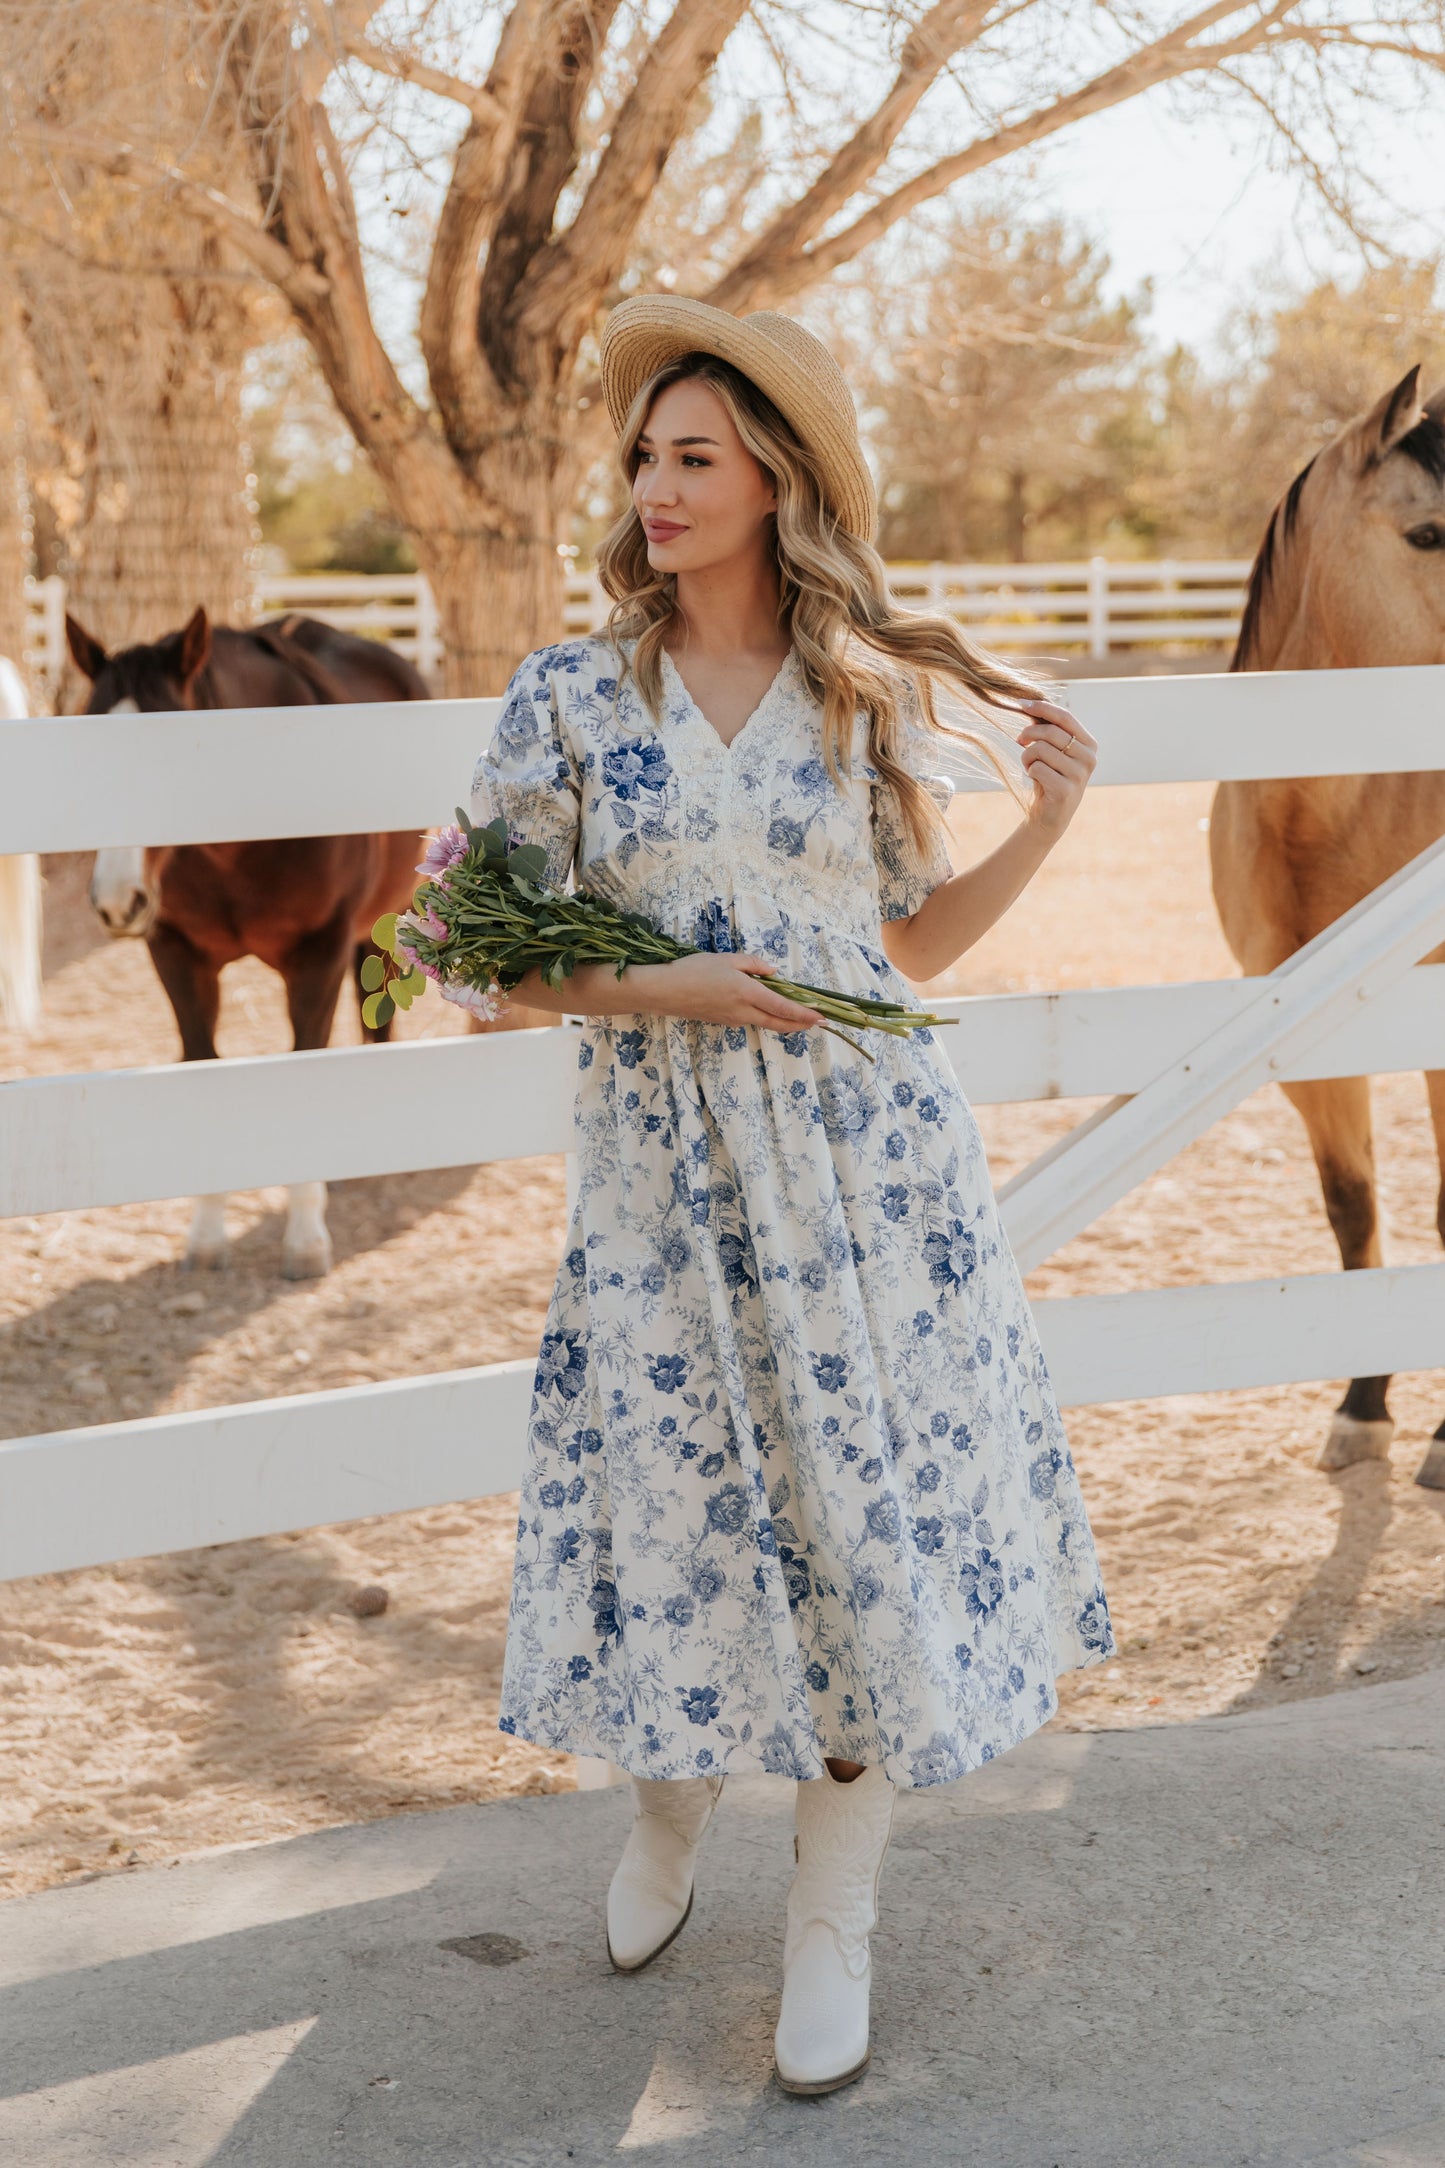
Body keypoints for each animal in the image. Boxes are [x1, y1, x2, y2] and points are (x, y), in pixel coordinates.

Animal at [68, 611, 428, 1274]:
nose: (116, 899)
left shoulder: (317, 958)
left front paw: (306, 1239)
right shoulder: (178, 957)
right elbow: (204, 1064)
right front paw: (207, 1235)